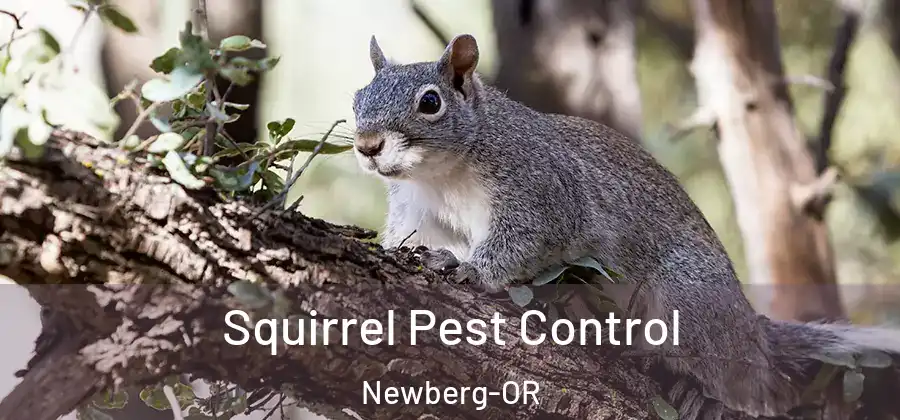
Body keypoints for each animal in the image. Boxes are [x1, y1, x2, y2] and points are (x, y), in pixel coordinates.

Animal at [351, 34, 900, 418]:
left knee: (749, 384)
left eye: (430, 102)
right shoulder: (418, 211)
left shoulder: (543, 190)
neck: (442, 173)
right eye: (358, 97)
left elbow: (524, 240)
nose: (367, 145)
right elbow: (410, 238)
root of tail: (749, 329)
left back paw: (705, 393)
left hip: (689, 299)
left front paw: (469, 269)